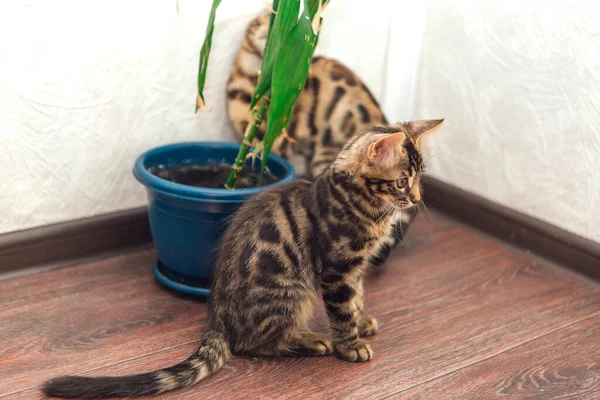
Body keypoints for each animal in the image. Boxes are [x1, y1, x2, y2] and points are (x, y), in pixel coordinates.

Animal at [44, 120, 442, 398]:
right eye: (402, 181)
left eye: (419, 179)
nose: (417, 199)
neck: (364, 202)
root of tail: (216, 315)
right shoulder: (336, 269)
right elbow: (342, 310)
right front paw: (350, 343)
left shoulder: (355, 268)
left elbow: (357, 298)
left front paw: (362, 321)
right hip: (293, 292)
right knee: (254, 344)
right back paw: (311, 340)